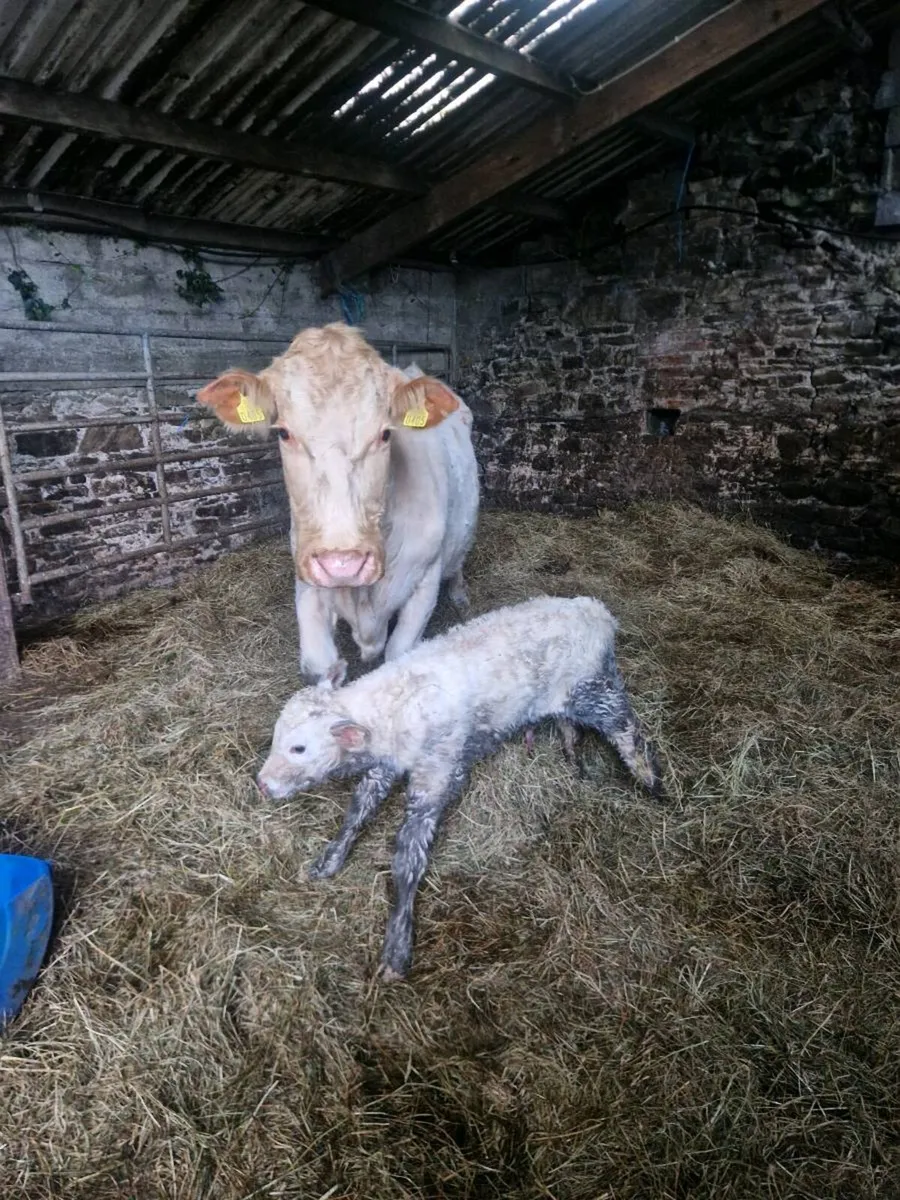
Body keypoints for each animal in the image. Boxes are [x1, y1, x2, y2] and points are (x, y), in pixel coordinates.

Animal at [196, 323, 479, 681]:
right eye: (284, 433)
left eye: (385, 433)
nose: (342, 564)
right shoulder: (308, 576)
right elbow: (320, 665)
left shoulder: (426, 577)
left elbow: (399, 655)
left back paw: (460, 594)